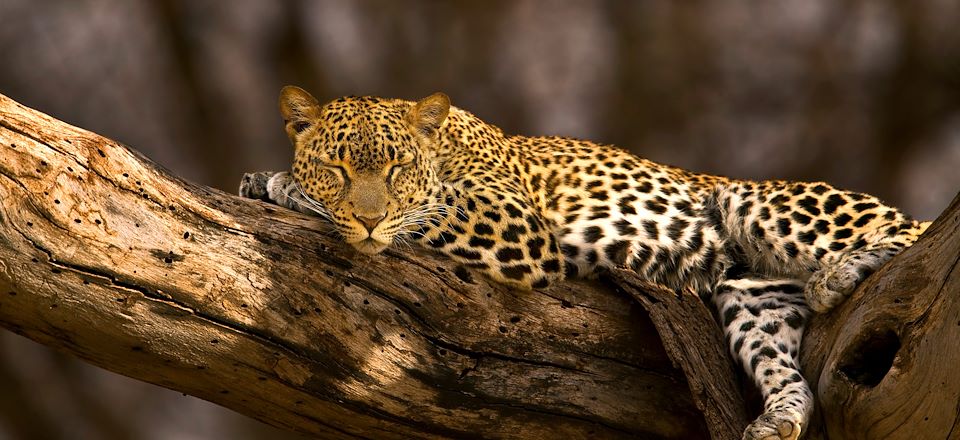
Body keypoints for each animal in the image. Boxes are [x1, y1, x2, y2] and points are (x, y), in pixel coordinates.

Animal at [238, 87, 928, 440]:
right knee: (787, 366)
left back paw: (841, 273)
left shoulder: (513, 222)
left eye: (396, 167)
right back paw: (779, 418)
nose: (367, 219)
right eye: (337, 166)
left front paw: (278, 184)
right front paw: (279, 185)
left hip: (749, 198)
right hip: (749, 292)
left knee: (907, 233)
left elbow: (423, 212)